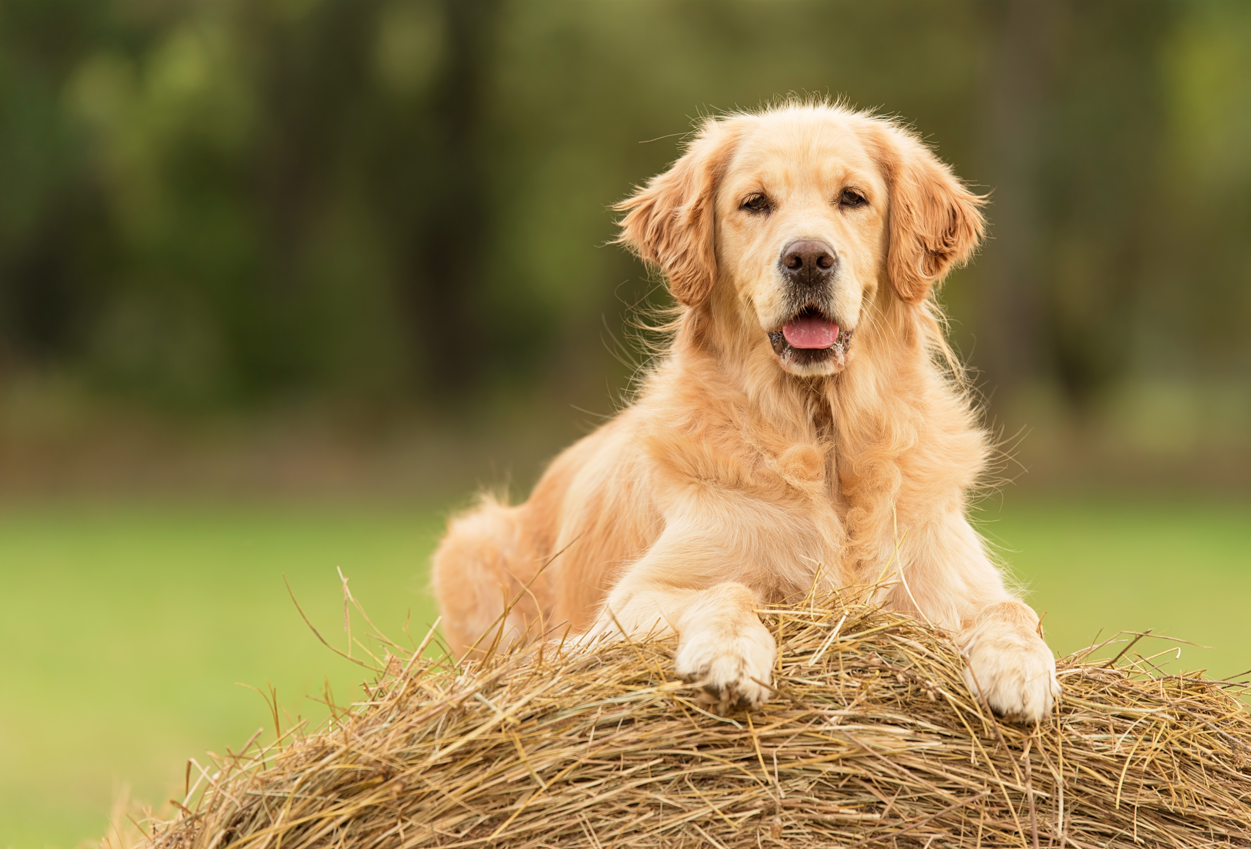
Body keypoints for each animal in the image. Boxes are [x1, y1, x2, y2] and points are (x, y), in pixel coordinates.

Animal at [430, 99, 1055, 725]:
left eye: (853, 197)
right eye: (754, 202)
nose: (809, 259)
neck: (822, 437)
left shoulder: (950, 583)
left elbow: (1014, 612)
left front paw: (1021, 669)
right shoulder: (629, 601)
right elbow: (726, 590)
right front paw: (727, 654)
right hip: (472, 544)